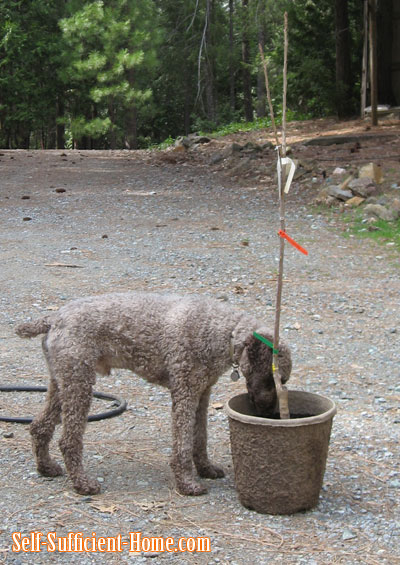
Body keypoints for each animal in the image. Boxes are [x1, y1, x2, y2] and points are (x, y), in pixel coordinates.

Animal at [16, 294, 290, 496]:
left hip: (62, 382)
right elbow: (183, 445)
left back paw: (46, 467)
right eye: (275, 380)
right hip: (79, 384)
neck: (221, 331)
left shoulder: (202, 394)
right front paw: (187, 484)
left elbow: (200, 438)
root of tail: (54, 318)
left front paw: (206, 468)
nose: (271, 413)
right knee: (68, 441)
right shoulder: (185, 394)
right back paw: (82, 484)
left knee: (39, 426)